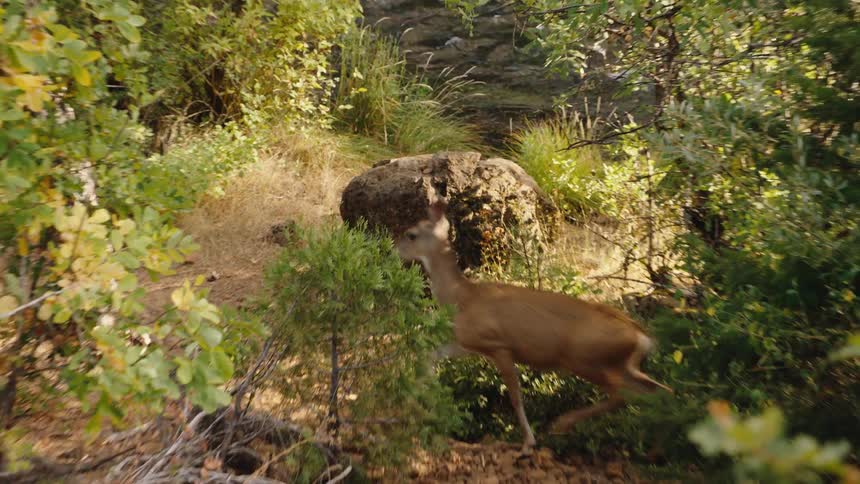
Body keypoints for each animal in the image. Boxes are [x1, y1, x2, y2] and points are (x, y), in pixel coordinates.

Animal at [395, 200, 672, 454]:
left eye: (411, 234)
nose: (394, 248)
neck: (462, 298)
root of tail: (641, 335)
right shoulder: (468, 342)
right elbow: (429, 357)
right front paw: (420, 403)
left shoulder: (499, 345)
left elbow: (515, 396)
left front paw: (529, 442)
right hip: (621, 364)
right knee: (658, 391)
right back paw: (656, 449)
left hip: (585, 358)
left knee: (622, 394)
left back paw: (563, 423)